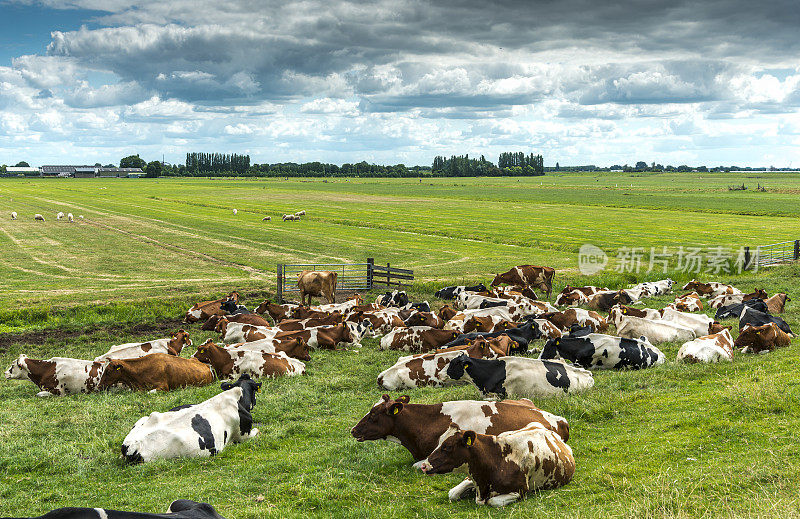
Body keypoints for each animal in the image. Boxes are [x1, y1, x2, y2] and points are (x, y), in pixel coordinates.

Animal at [418, 426, 576, 508]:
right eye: (439, 442)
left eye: (448, 447)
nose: (424, 465)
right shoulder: (473, 478)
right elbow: (453, 493)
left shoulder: (520, 490)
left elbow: (493, 501)